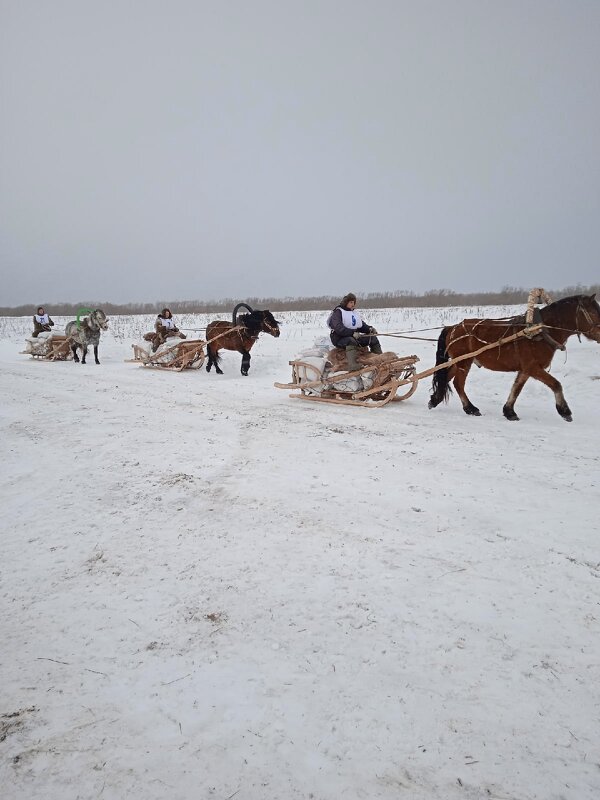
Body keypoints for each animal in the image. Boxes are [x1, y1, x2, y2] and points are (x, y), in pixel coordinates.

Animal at [428, 292, 600, 418]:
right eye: (593, 312)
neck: (539, 331)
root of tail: (453, 327)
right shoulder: (533, 367)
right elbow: (556, 384)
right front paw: (564, 411)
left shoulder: (526, 369)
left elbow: (516, 388)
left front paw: (509, 411)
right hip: (464, 362)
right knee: (458, 383)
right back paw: (470, 408)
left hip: (461, 361)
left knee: (447, 377)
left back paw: (435, 399)